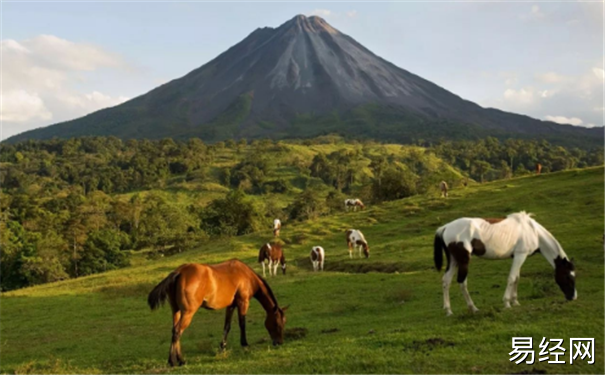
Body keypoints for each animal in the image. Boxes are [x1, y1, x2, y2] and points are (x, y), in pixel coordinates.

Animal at [147, 260, 288, 366]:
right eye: (277, 323)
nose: (279, 342)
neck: (246, 276)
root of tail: (179, 272)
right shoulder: (243, 302)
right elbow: (242, 324)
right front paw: (244, 344)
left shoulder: (230, 306)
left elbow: (227, 326)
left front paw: (222, 347)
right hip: (188, 313)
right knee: (177, 332)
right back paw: (178, 360)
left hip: (176, 311)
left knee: (175, 331)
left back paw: (174, 360)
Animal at [434, 213, 576, 316]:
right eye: (568, 276)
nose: (573, 297)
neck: (532, 231)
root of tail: (445, 227)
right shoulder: (520, 255)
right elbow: (512, 278)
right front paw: (507, 303)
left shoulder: (518, 257)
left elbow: (517, 278)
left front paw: (515, 301)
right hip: (464, 261)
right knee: (462, 282)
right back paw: (473, 308)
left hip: (454, 260)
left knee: (446, 281)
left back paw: (448, 311)